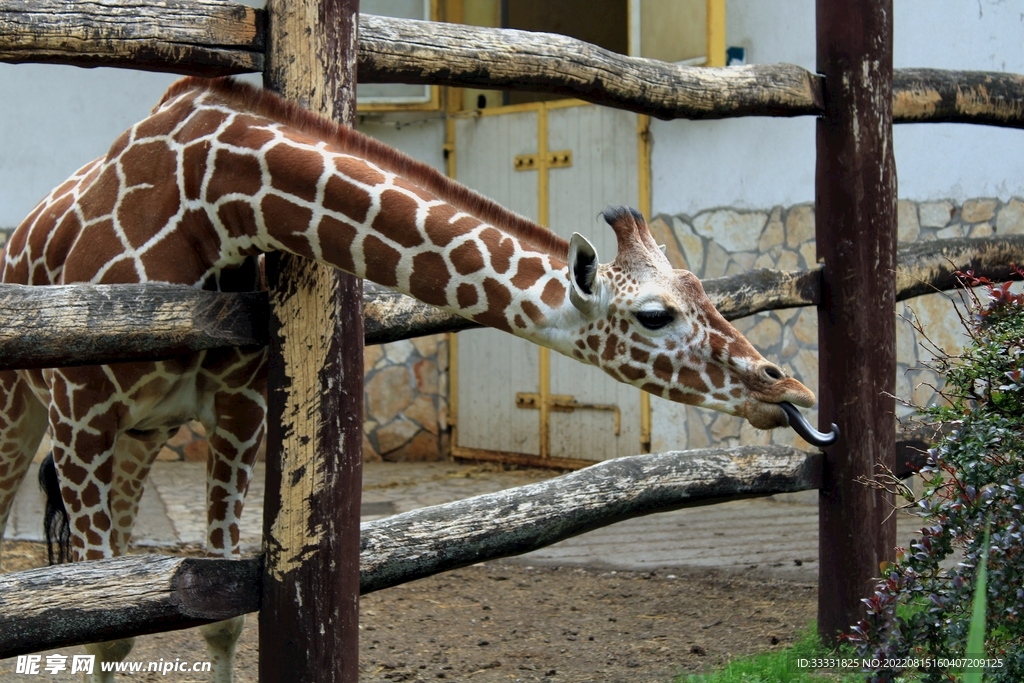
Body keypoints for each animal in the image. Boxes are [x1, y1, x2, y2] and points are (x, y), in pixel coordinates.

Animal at [0, 77, 815, 679]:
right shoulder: (81, 416)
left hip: (143, 436)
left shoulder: (234, 415)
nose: (789, 391)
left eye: (700, 285)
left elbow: (214, 619)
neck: (214, 200)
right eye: (654, 314)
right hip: (27, 413)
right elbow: (107, 627)